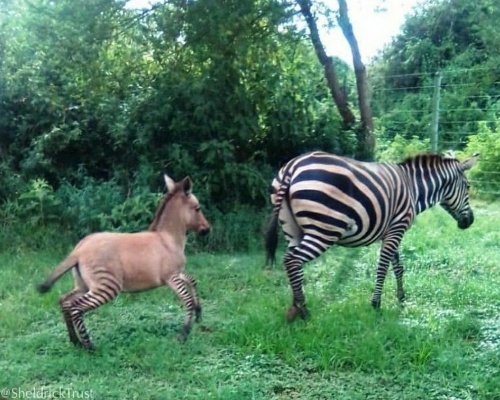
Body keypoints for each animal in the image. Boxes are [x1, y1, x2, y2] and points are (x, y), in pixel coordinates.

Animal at [266, 150, 480, 322]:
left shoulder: (391, 230)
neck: (414, 188)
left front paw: (401, 298)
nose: (470, 221)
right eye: (468, 187)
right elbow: (383, 267)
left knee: (293, 264)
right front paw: (376, 304)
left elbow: (398, 266)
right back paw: (304, 311)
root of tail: (292, 166)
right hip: (324, 230)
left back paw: (295, 306)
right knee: (292, 260)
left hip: (292, 230)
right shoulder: (397, 228)